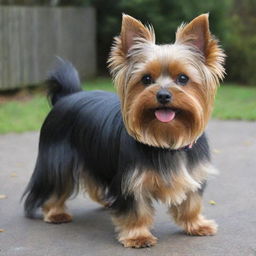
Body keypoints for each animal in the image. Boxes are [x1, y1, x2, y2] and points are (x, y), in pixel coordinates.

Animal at [23, 14, 225, 248]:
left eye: (183, 78)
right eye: (146, 79)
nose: (163, 95)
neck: (165, 140)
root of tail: (68, 96)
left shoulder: (193, 174)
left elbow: (192, 202)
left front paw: (196, 224)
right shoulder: (131, 181)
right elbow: (136, 210)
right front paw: (138, 236)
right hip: (58, 157)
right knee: (56, 183)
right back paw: (56, 213)